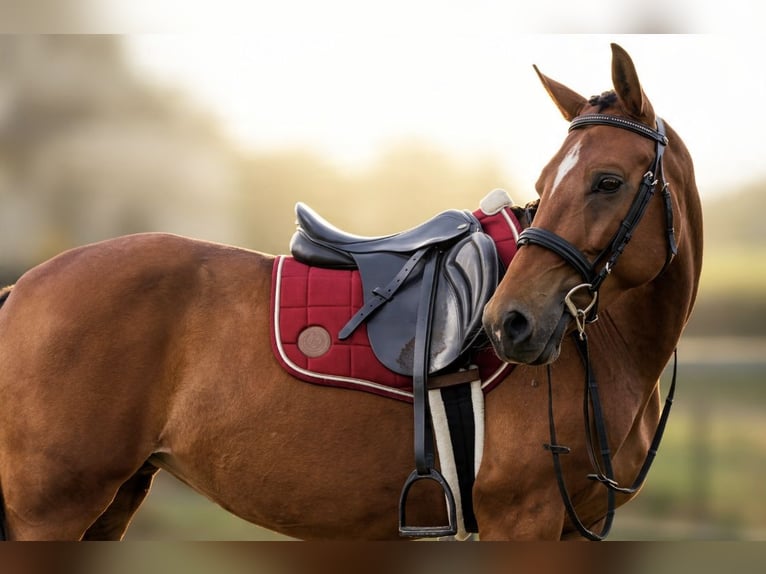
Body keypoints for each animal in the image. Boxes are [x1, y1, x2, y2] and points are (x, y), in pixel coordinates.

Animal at [0, 43, 701, 540]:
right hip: (53, 511)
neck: (604, 347)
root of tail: (23, 286)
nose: (509, 321)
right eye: (546, 181)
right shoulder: (521, 518)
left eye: (607, 181)